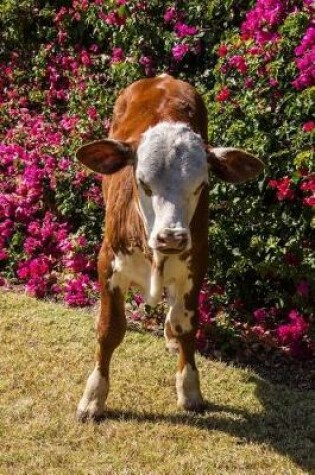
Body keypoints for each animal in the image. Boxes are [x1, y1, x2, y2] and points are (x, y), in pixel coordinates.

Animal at [75, 74, 262, 420]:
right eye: (143, 183)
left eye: (201, 184)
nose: (171, 237)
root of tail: (162, 77)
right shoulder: (108, 263)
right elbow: (110, 329)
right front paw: (94, 396)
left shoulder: (196, 262)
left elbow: (185, 323)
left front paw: (189, 387)